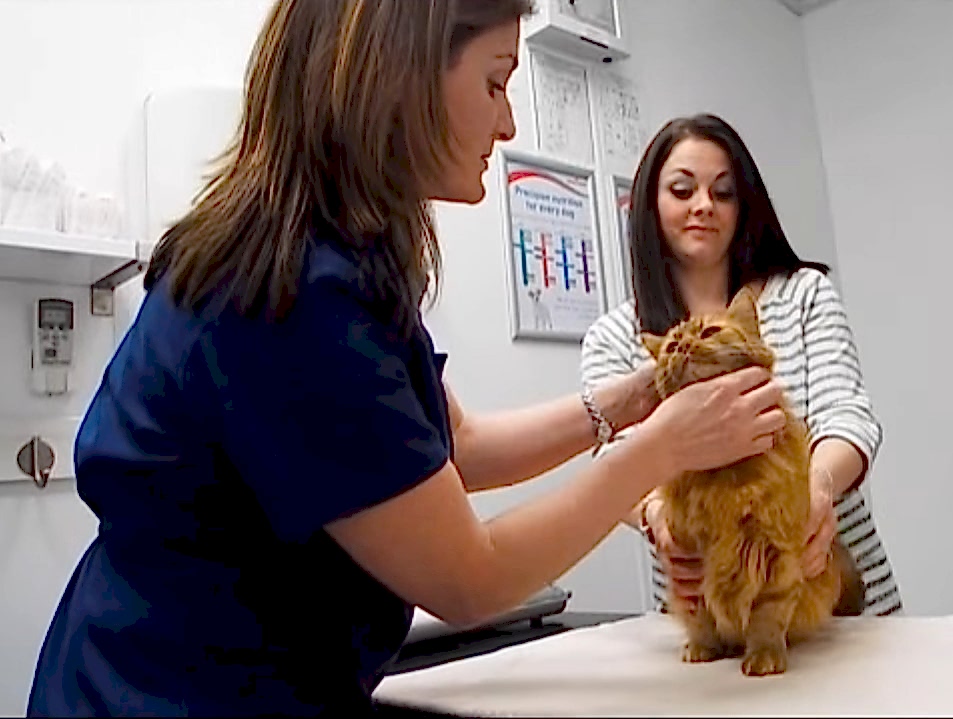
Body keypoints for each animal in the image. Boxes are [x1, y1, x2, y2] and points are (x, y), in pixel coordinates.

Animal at [640, 286, 864, 676]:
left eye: (710, 332)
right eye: (671, 346)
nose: (684, 347)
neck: (725, 471)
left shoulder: (776, 558)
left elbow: (766, 619)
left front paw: (764, 657)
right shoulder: (693, 560)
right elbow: (701, 618)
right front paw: (702, 649)